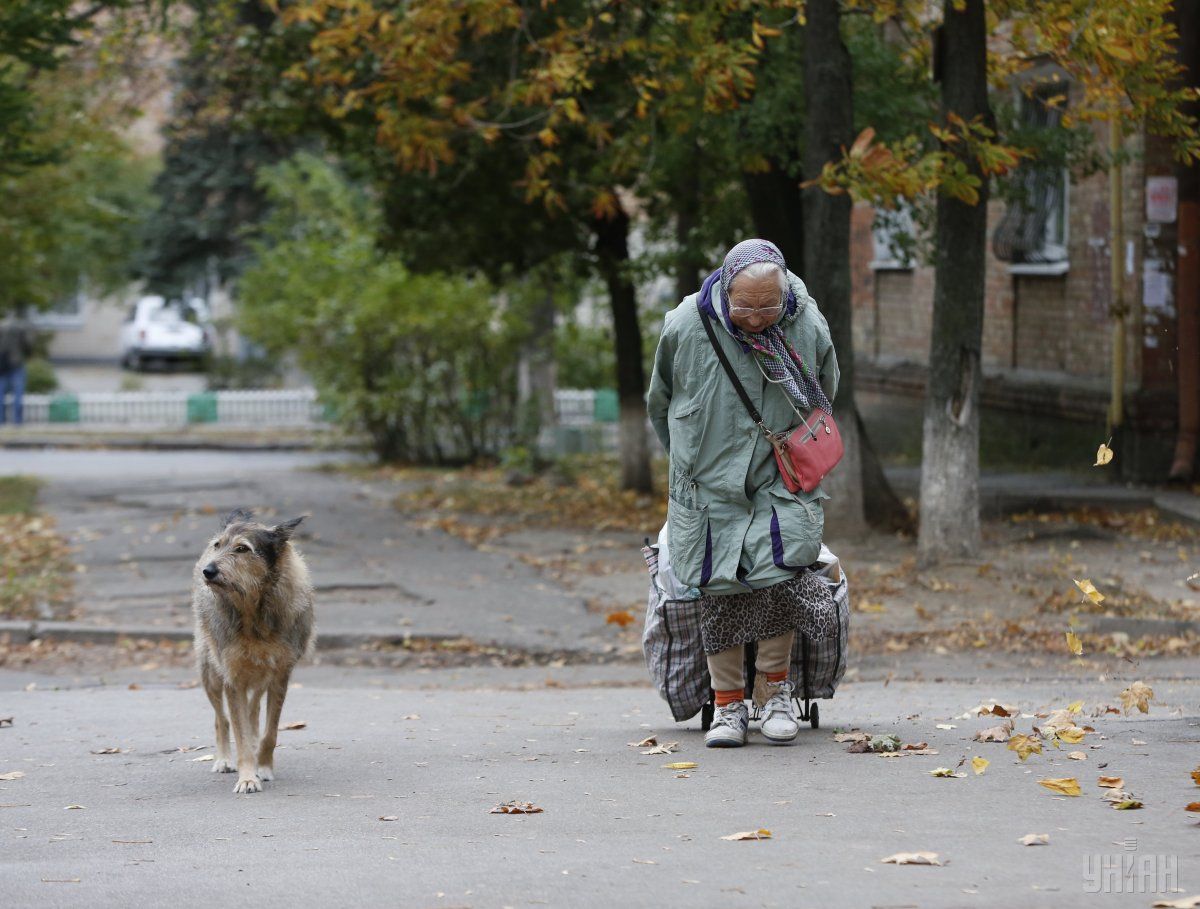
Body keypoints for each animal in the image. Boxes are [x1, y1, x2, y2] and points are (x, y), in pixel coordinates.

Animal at [192, 508, 314, 796]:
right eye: (218, 545)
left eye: (242, 549)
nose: (207, 571)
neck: (252, 610)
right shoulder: (232, 678)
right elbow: (240, 735)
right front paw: (247, 777)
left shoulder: (280, 676)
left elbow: (269, 732)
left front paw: (264, 767)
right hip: (210, 674)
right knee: (222, 720)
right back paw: (224, 759)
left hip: (260, 678)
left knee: (253, 712)